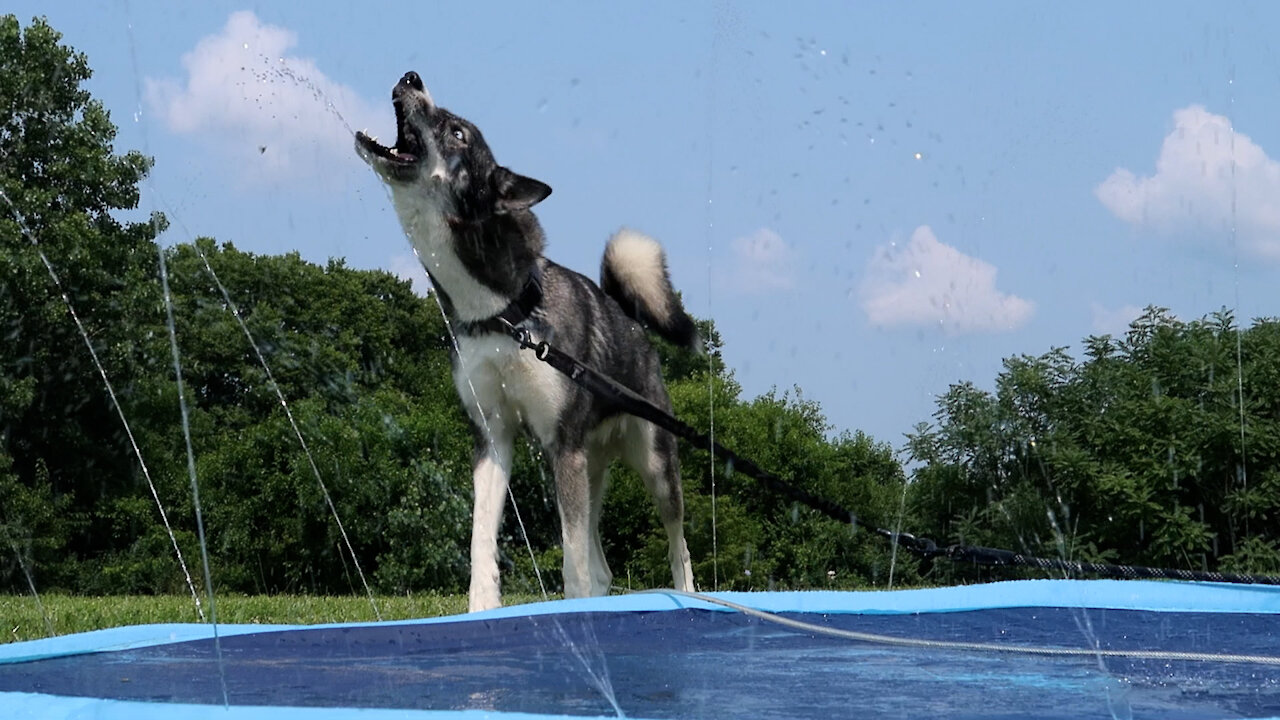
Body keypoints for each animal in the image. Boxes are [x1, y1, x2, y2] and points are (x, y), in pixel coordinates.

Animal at [355, 73, 701, 607]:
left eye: (458, 133)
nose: (411, 77)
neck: (503, 314)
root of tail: (630, 322)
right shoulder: (493, 438)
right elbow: (481, 542)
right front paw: (481, 607)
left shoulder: (562, 446)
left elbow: (571, 560)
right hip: (589, 465)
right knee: (601, 566)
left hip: (654, 461)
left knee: (677, 545)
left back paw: (688, 593)